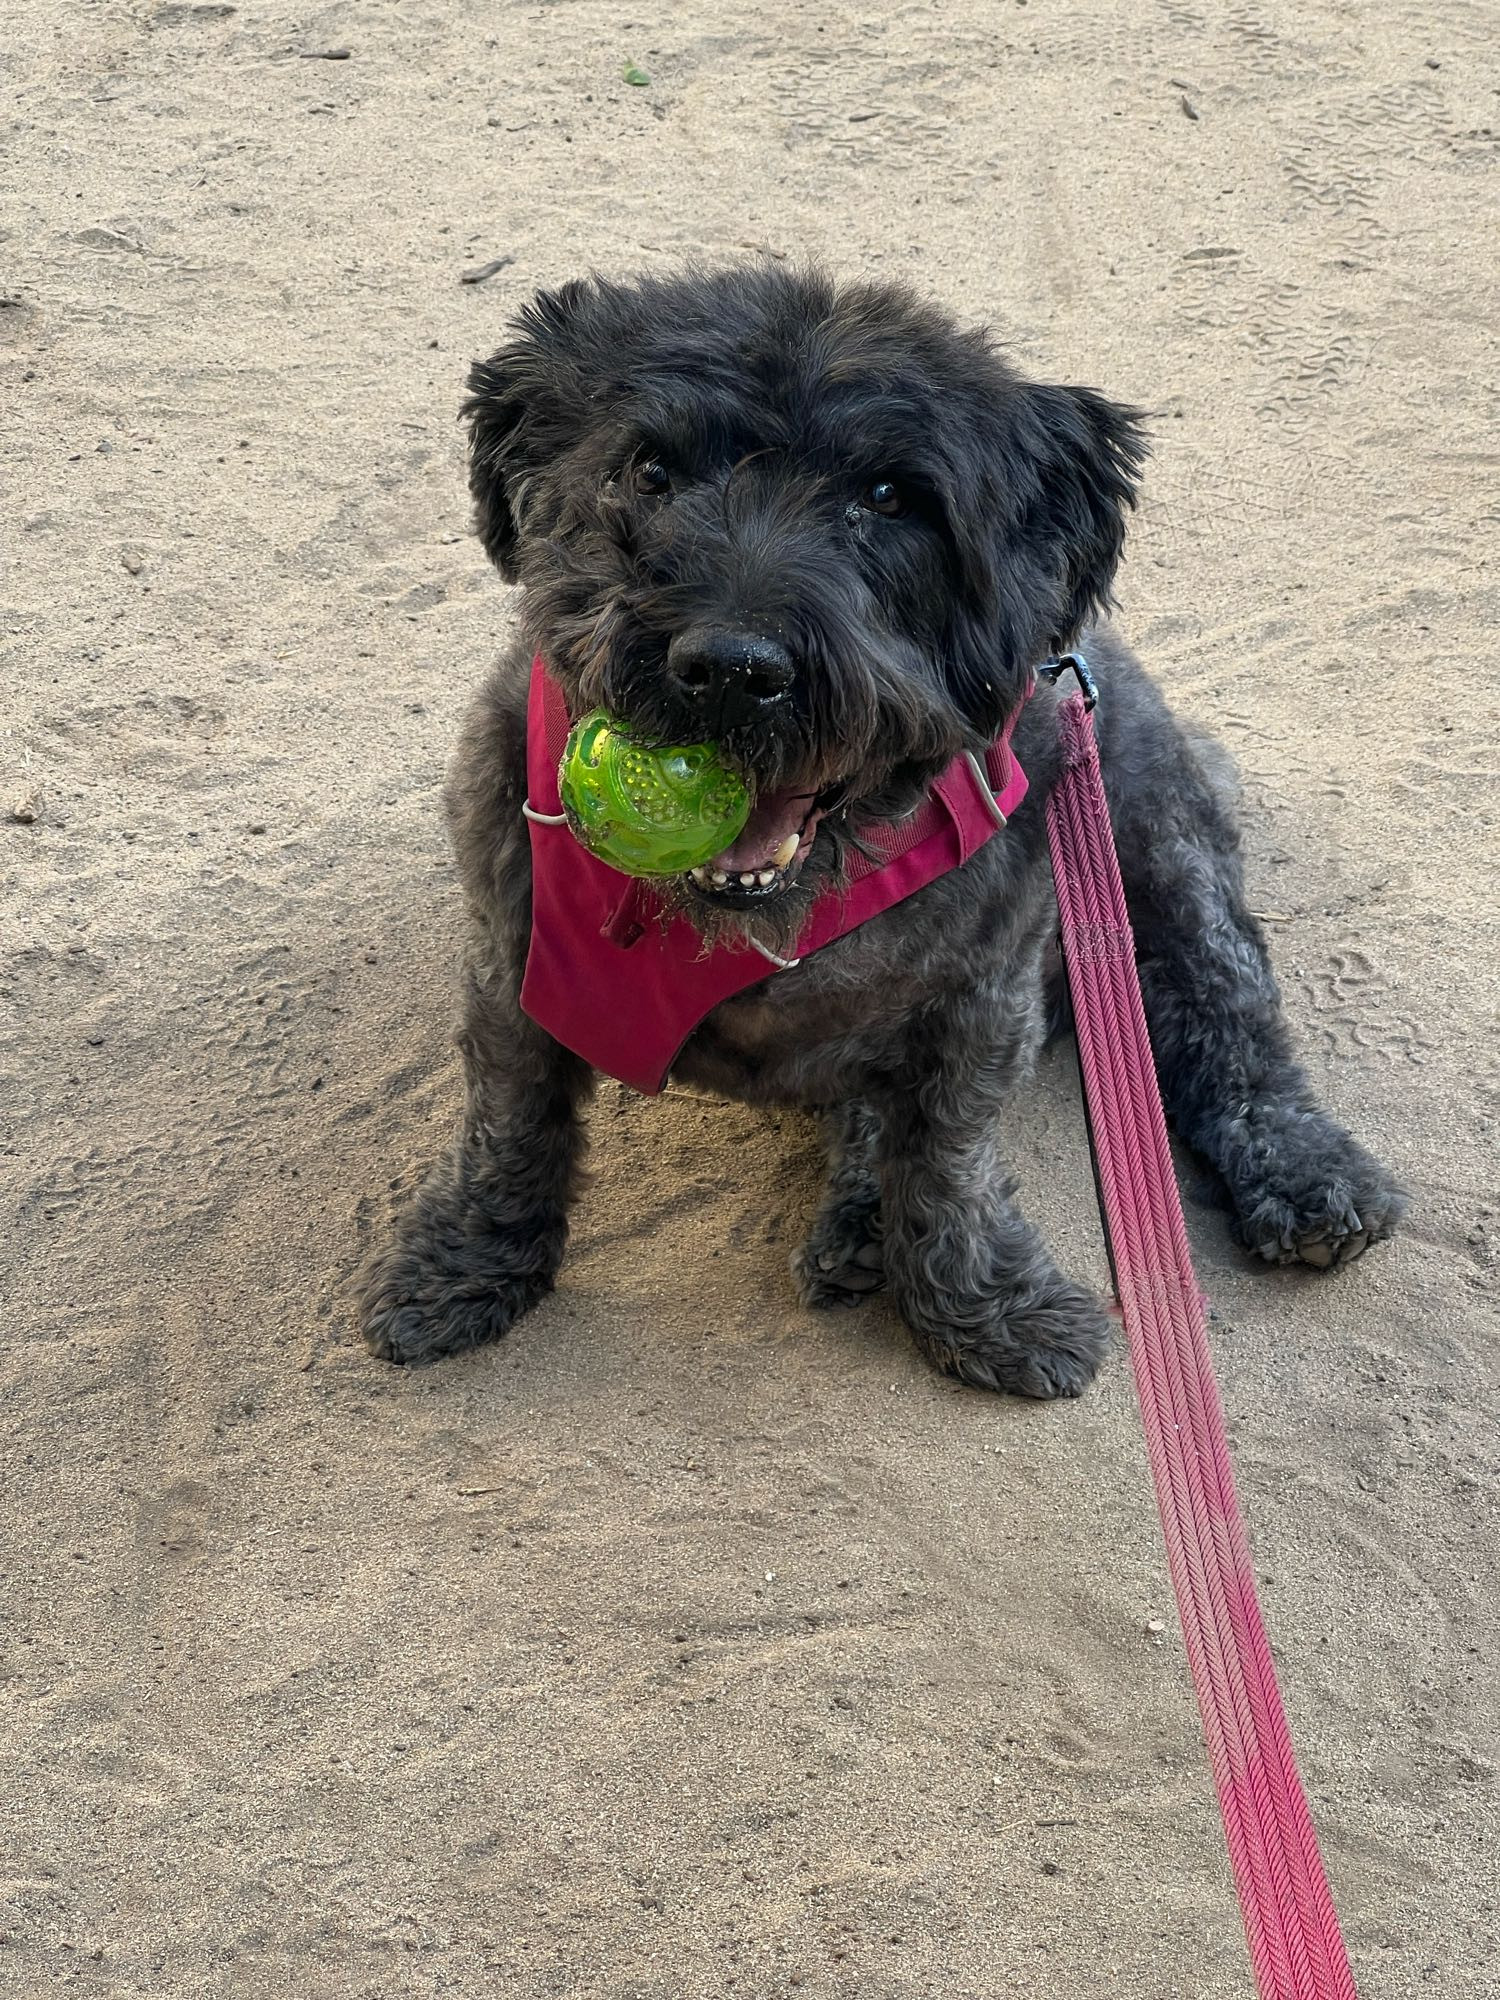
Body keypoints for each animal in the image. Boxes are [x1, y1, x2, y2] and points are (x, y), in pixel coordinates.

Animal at [362, 262, 1408, 1392]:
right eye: (649, 469)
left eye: (889, 497)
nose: (731, 669)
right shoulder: (512, 959)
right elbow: (511, 1123)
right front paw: (468, 1265)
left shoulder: (982, 998)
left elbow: (949, 1162)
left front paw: (985, 1311)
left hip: (1162, 854)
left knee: (1231, 1021)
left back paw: (1307, 1174)